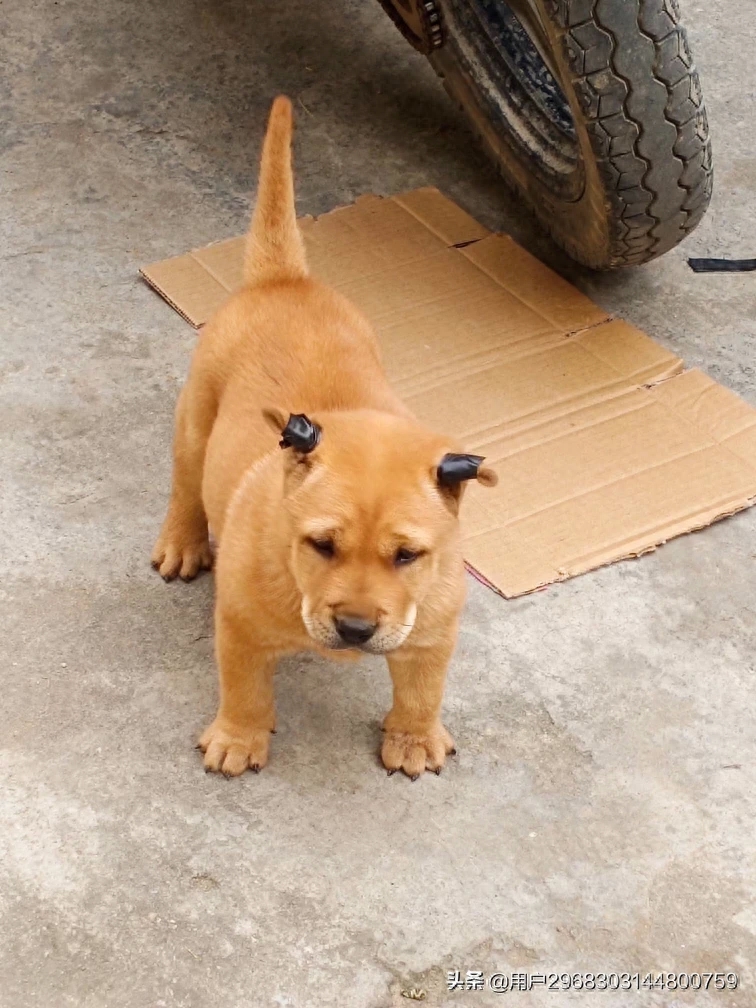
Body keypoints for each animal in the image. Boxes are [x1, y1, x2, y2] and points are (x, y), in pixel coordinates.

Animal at [153, 96, 497, 778]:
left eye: (407, 556)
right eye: (321, 545)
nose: (358, 629)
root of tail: (285, 280)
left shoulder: (433, 628)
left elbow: (424, 687)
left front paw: (414, 738)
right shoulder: (239, 623)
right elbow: (245, 686)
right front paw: (239, 737)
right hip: (196, 419)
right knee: (185, 483)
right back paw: (181, 543)